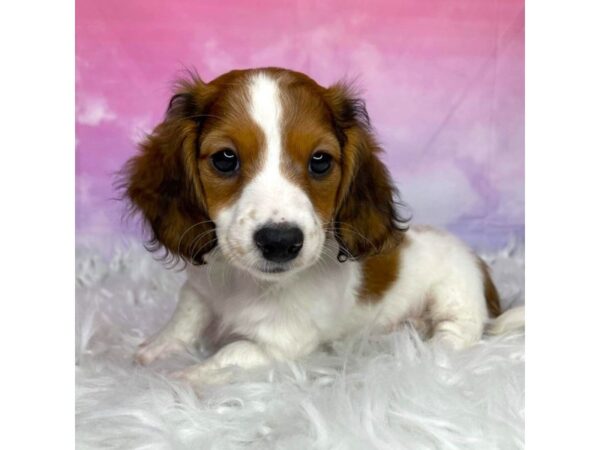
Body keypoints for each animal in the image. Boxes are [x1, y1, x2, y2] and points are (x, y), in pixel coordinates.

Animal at [123, 67, 520, 386]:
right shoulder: (201, 287)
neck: (247, 284)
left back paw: (427, 349)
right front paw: (156, 348)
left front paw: (188, 376)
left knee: (459, 333)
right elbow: (185, 317)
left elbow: (232, 352)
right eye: (224, 159)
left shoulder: (282, 343)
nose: (280, 242)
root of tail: (480, 267)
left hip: (456, 296)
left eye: (320, 161)